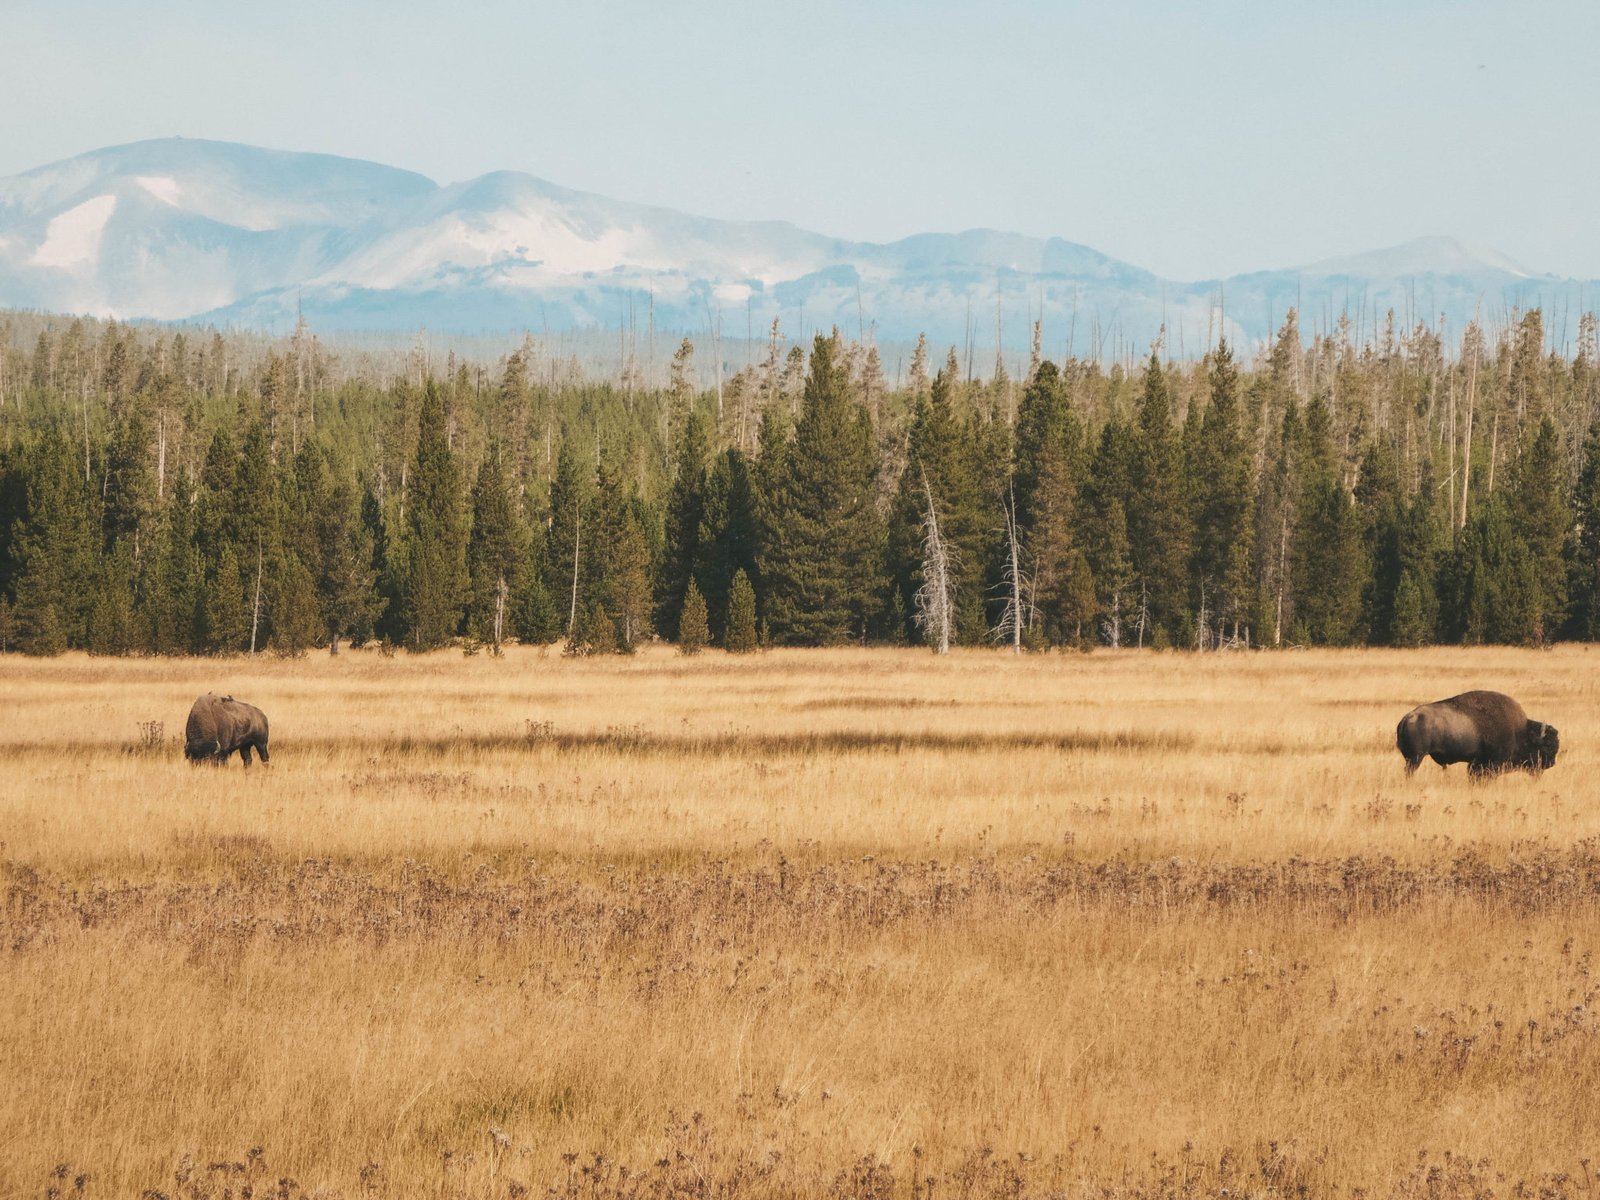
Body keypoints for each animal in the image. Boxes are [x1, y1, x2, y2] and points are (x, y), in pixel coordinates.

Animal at [1395, 694, 1555, 780]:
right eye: (1547, 746)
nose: (1552, 763)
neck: (1519, 731)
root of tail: (1408, 717)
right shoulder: (1491, 763)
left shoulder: (1476, 763)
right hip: (1416, 757)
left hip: (1411, 757)